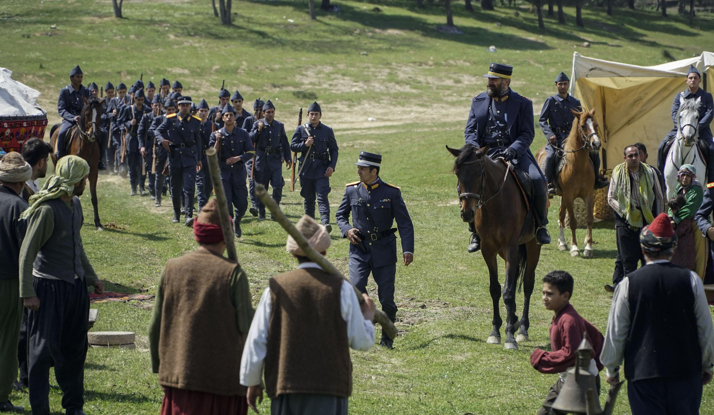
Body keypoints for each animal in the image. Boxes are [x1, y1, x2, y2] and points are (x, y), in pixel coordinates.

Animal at [49, 97, 104, 231]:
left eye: (99, 114)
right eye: (87, 114)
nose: (92, 134)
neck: (87, 146)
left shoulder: (93, 171)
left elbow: (94, 198)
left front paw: (98, 223)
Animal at [444, 145, 540, 350]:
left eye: (479, 173)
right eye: (457, 173)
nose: (467, 213)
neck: (496, 205)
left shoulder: (511, 247)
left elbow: (508, 292)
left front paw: (510, 337)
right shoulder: (488, 250)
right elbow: (495, 289)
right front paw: (496, 331)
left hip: (532, 246)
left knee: (528, 284)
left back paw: (522, 329)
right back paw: (514, 319)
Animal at [536, 109, 600, 258]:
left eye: (595, 124)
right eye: (583, 126)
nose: (596, 144)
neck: (578, 166)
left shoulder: (588, 195)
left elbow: (589, 219)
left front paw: (588, 247)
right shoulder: (570, 196)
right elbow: (572, 222)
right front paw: (575, 248)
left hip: (563, 197)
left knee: (560, 215)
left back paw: (562, 243)